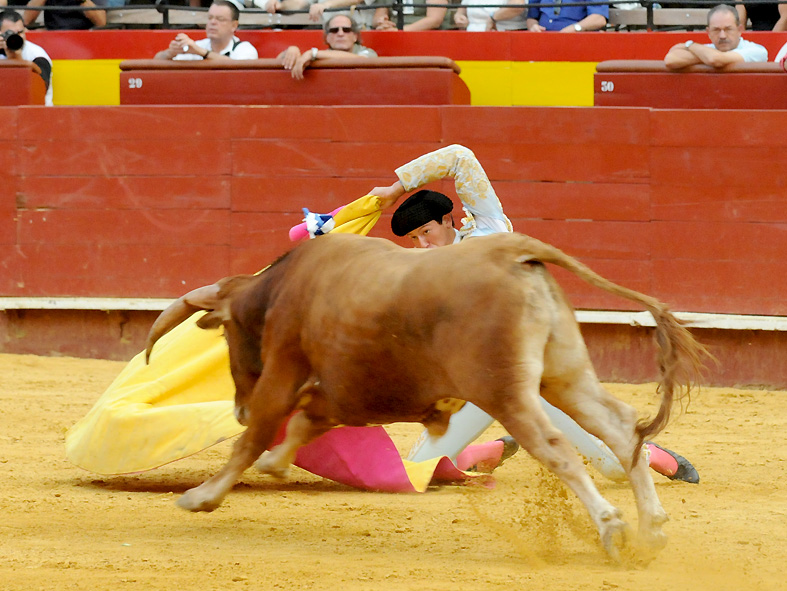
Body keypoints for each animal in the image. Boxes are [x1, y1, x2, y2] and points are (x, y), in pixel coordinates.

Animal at [148, 232, 708, 560]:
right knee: (621, 426)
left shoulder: (284, 368)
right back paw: (652, 527)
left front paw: (202, 496)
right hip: (564, 374)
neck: (282, 289)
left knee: (555, 446)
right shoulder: (346, 391)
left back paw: (613, 529)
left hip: (505, 391)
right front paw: (276, 463)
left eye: (225, 335)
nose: (238, 406)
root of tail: (514, 250)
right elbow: (307, 422)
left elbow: (255, 436)